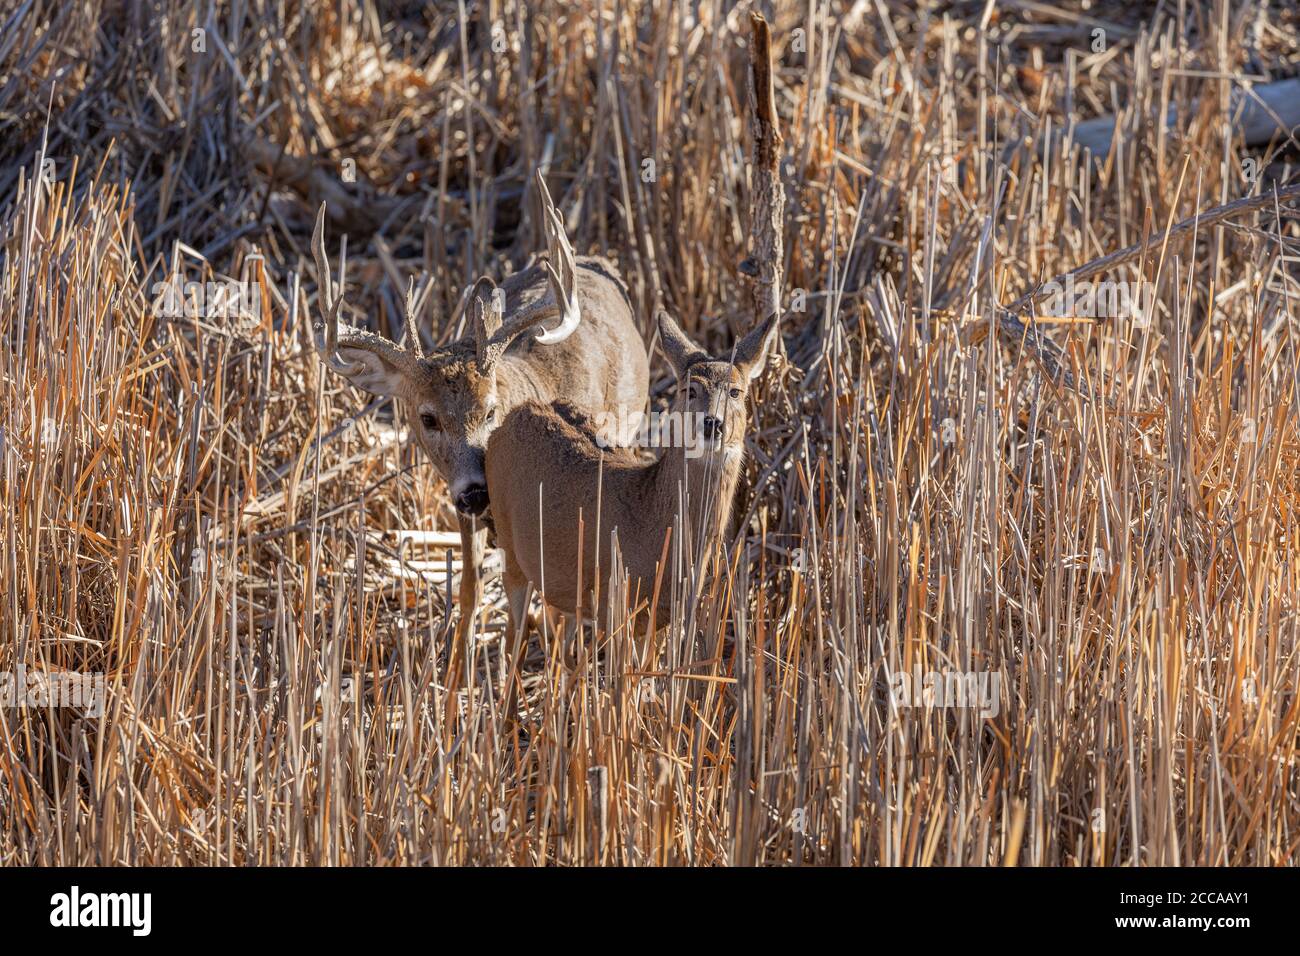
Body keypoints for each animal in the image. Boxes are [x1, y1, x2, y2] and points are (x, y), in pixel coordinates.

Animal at [484, 309, 779, 640]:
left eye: (736, 392)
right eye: (689, 390)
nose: (713, 423)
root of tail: (509, 418)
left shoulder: (660, 617)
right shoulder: (613, 604)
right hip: (508, 544)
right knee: (515, 631)